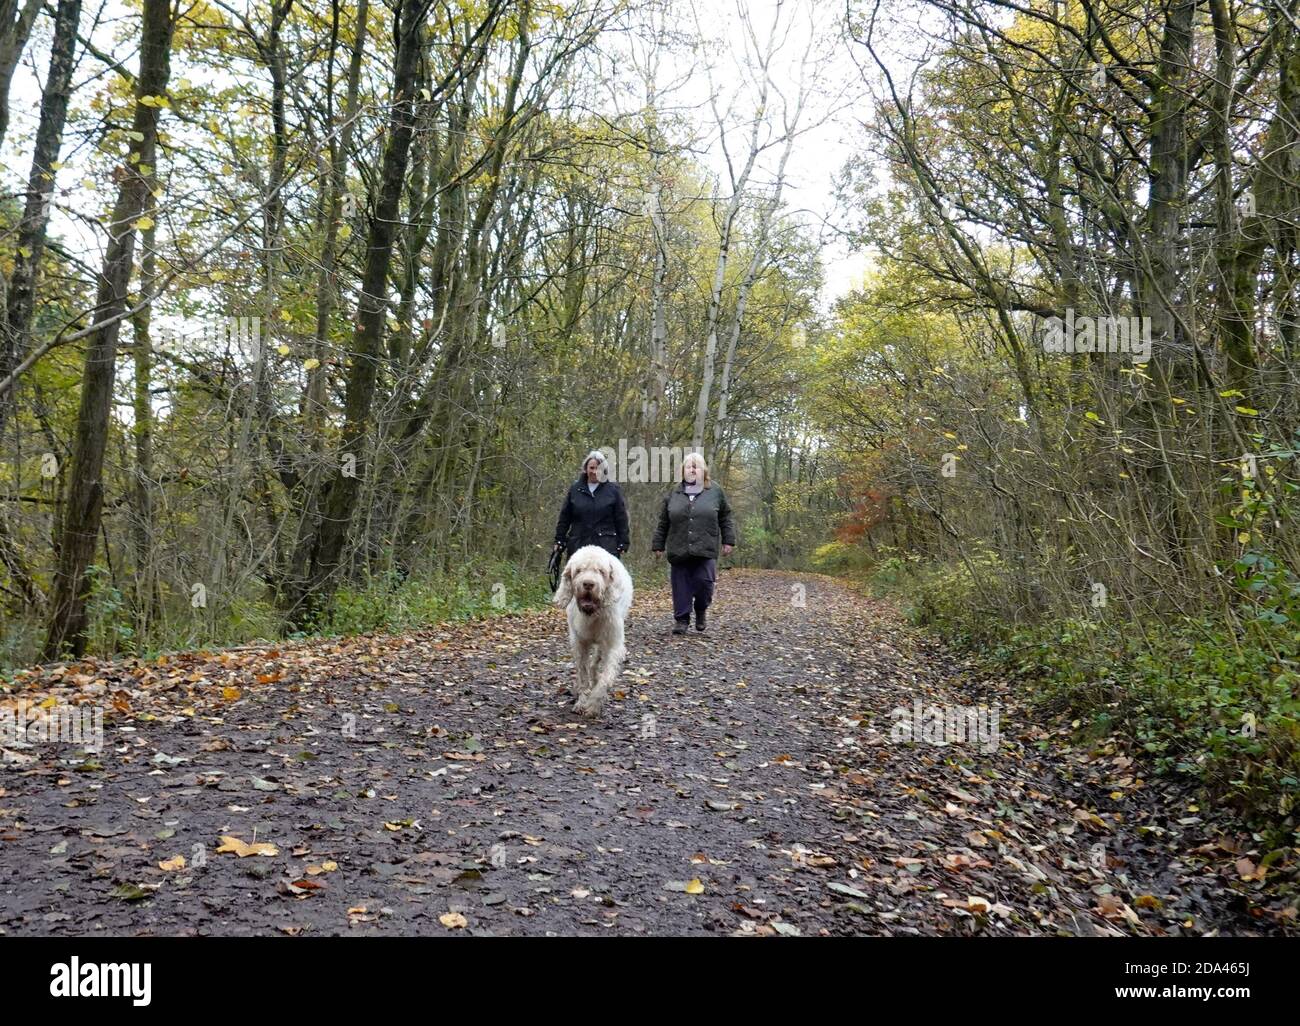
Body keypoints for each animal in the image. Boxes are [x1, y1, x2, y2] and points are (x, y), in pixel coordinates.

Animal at [551, 543, 631, 712]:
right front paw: (582, 701)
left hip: (602, 644)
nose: (588, 584)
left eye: (600, 571)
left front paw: (594, 704)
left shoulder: (613, 644)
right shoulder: (579, 643)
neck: (593, 614)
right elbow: (582, 673)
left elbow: (606, 677)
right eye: (579, 571)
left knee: (595, 664)